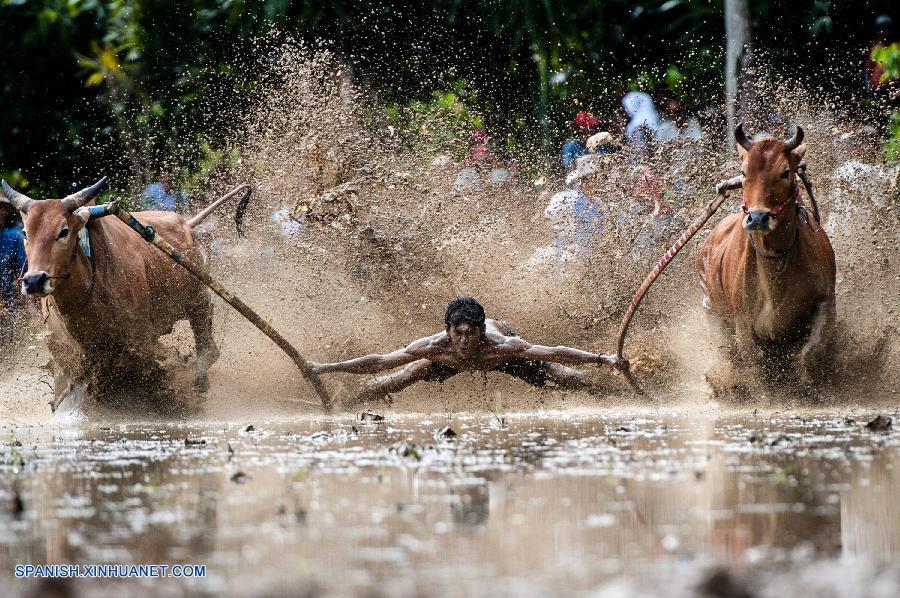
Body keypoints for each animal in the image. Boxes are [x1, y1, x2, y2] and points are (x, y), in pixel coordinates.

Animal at [0, 177, 224, 394]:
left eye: (63, 231)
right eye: (25, 233)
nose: (34, 281)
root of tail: (186, 225)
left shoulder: (141, 340)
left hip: (199, 300)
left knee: (209, 350)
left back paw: (200, 380)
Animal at [696, 126, 836, 390]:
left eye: (785, 172)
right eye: (744, 171)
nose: (758, 218)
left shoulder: (826, 300)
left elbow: (810, 352)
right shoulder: (742, 321)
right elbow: (754, 362)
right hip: (713, 311)